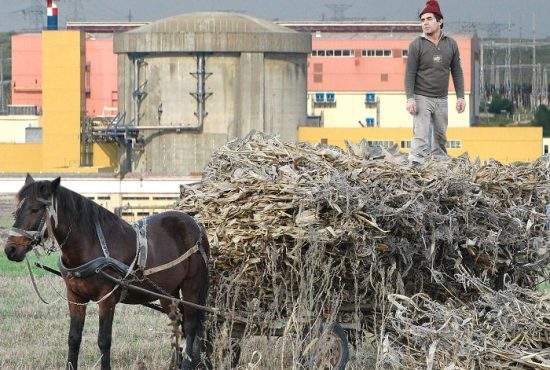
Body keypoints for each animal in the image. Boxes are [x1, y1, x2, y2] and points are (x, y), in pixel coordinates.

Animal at [3, 176, 211, 370]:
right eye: (17, 210)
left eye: (35, 209)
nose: (10, 250)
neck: (90, 244)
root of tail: (196, 225)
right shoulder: (75, 297)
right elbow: (73, 338)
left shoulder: (107, 299)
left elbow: (104, 340)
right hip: (168, 293)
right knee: (177, 323)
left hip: (192, 287)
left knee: (191, 326)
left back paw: (187, 363)